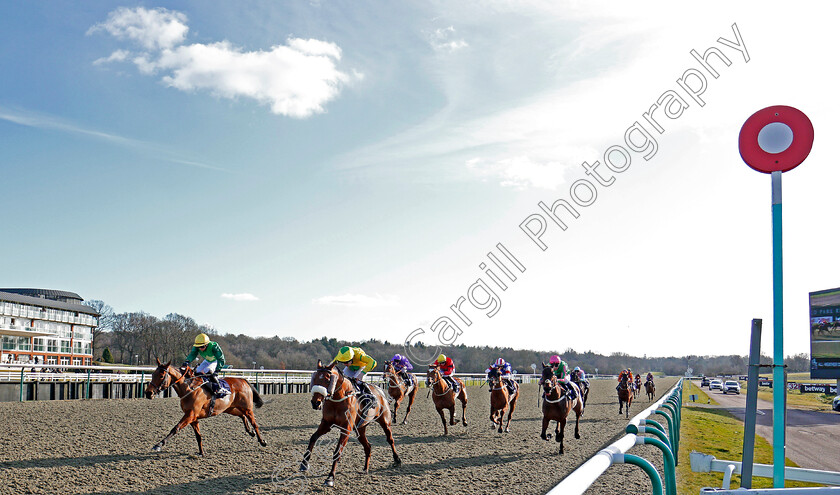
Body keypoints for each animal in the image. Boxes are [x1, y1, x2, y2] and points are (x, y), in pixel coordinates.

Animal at [300, 360, 398, 488]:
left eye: (327, 379)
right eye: (315, 377)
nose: (315, 403)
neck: (338, 399)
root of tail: (380, 391)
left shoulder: (346, 429)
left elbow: (337, 452)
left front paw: (330, 477)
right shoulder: (326, 424)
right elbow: (313, 438)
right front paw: (304, 464)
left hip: (385, 421)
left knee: (390, 439)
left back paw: (397, 460)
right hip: (360, 429)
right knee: (368, 446)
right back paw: (365, 469)